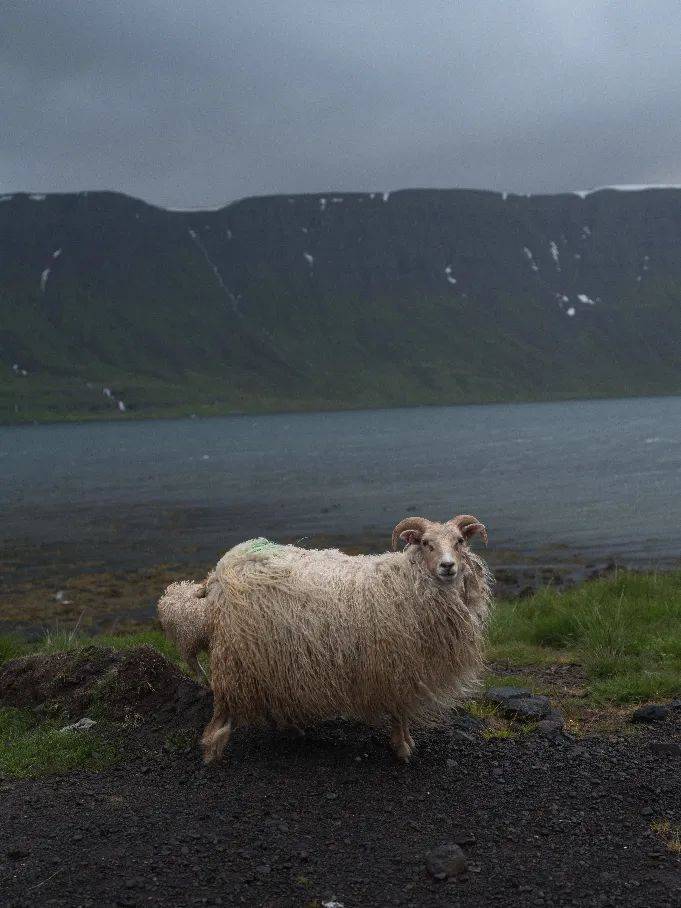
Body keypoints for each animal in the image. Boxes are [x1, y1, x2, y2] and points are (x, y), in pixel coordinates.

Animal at [199, 516, 492, 764]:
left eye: (460, 541)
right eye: (425, 543)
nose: (448, 566)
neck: (408, 581)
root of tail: (223, 569)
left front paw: (405, 742)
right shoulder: (395, 664)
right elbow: (400, 711)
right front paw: (402, 747)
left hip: (269, 656)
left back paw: (291, 728)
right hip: (235, 656)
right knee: (221, 709)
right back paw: (212, 752)